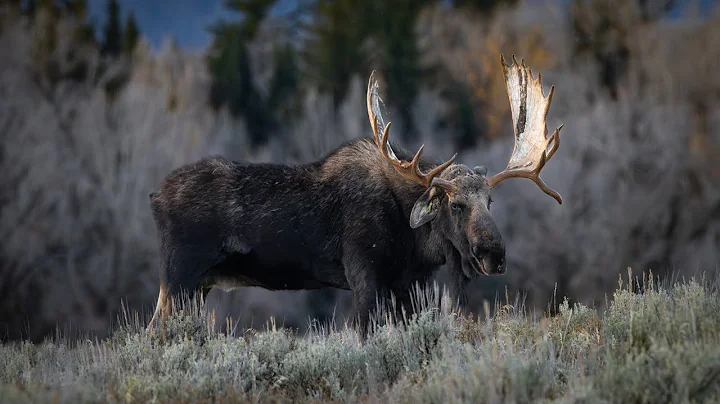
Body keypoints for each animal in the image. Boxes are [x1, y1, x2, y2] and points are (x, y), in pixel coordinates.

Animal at [145, 55, 563, 340]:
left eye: (490, 203)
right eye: (456, 206)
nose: (495, 255)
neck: (415, 240)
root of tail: (154, 196)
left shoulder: (406, 286)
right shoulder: (364, 275)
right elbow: (366, 336)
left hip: (198, 285)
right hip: (179, 276)